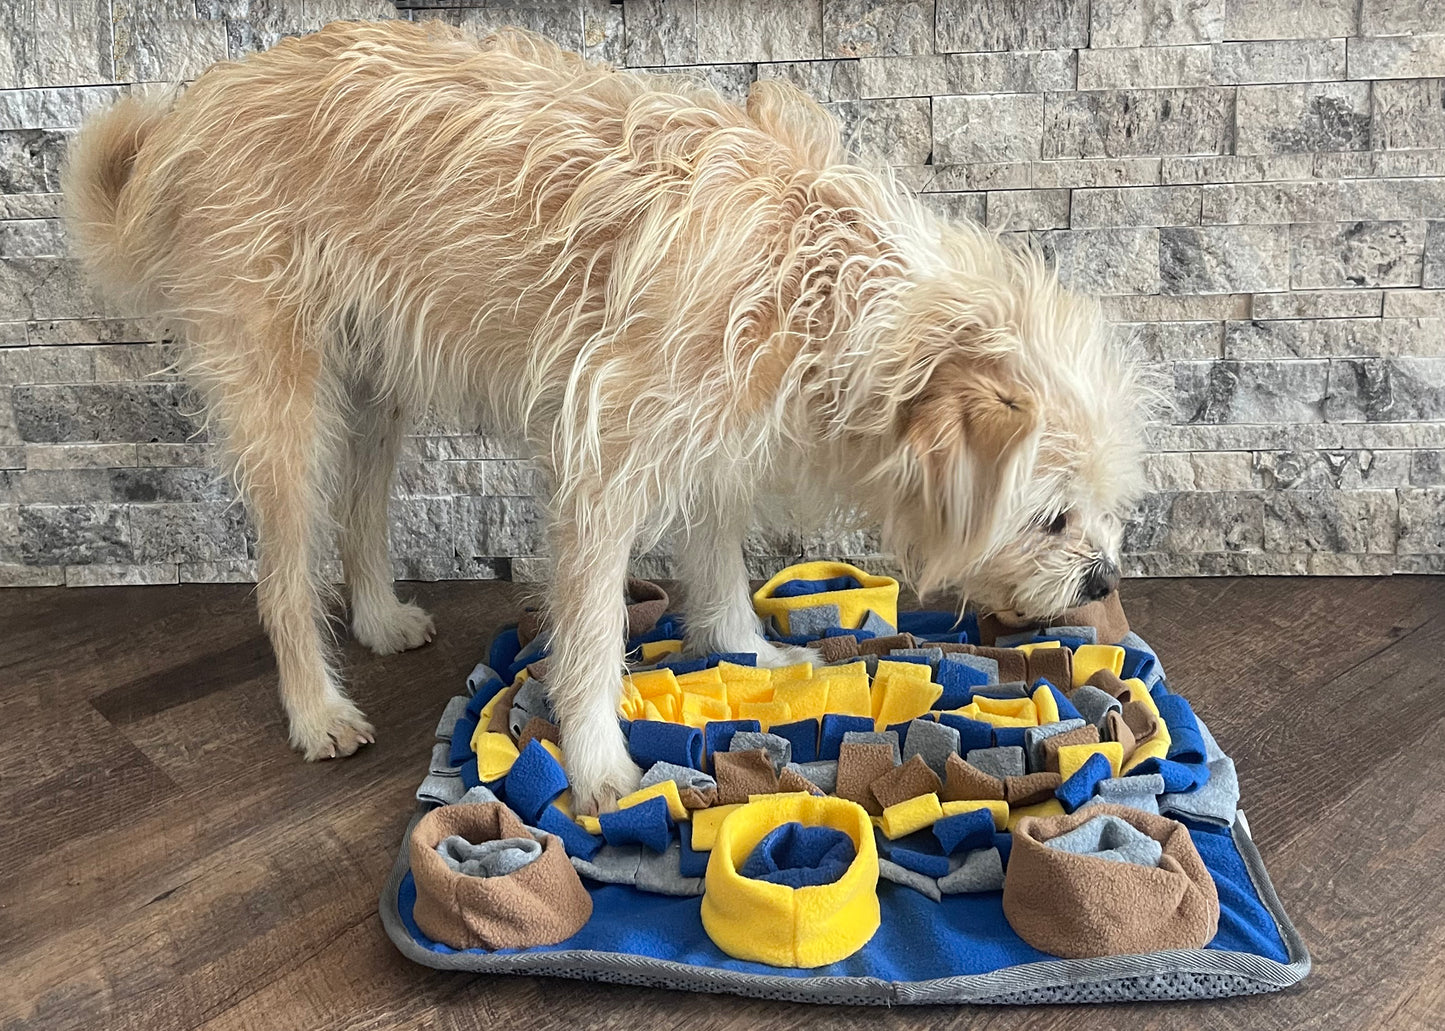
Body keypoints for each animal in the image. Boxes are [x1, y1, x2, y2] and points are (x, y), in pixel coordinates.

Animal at [65, 18, 1150, 809]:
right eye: (1049, 517)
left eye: (1102, 510)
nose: (1100, 577)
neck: (826, 288)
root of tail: (201, 101)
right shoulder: (604, 467)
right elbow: (587, 638)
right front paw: (597, 767)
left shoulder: (716, 444)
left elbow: (719, 567)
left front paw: (749, 653)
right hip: (286, 402)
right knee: (284, 572)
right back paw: (317, 704)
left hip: (382, 385)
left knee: (363, 509)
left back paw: (375, 615)